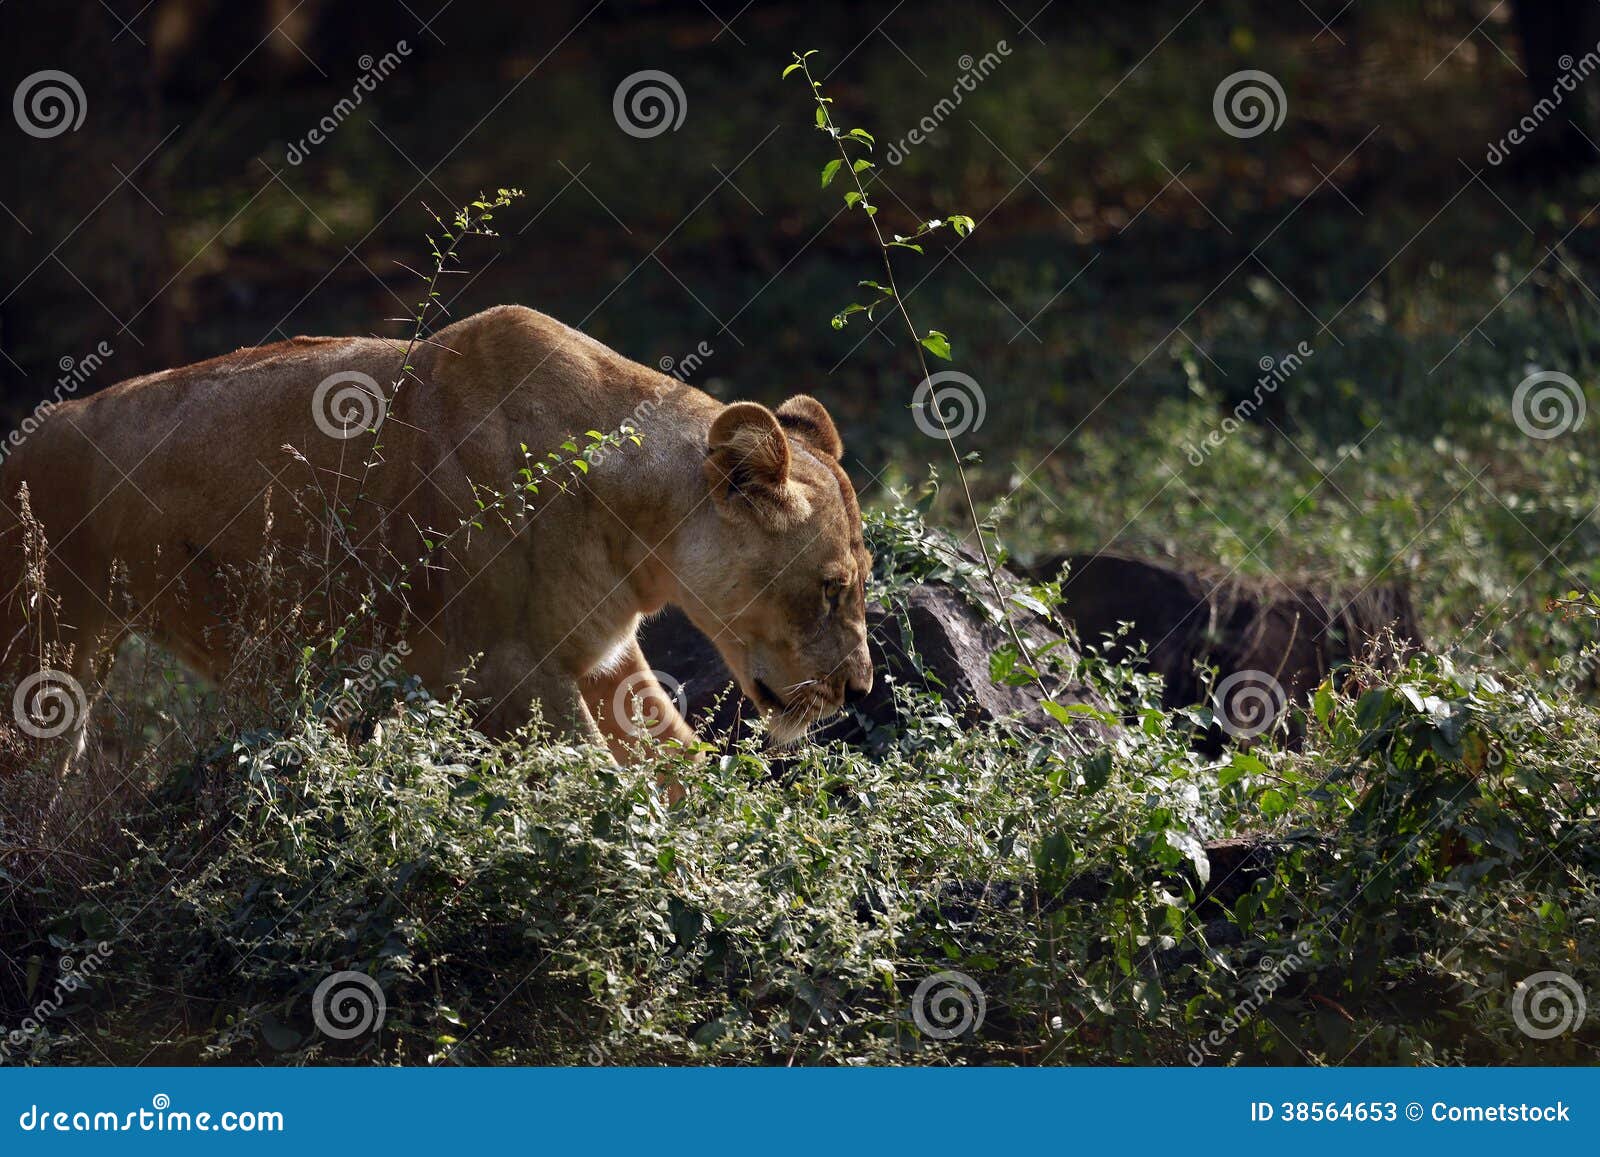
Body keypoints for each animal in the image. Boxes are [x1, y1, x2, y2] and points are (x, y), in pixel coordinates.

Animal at [0, 304, 873, 768]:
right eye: (833, 588)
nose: (861, 689)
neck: (638, 528)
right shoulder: (504, 670)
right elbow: (600, 785)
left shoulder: (603, 656)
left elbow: (677, 765)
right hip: (43, 659)